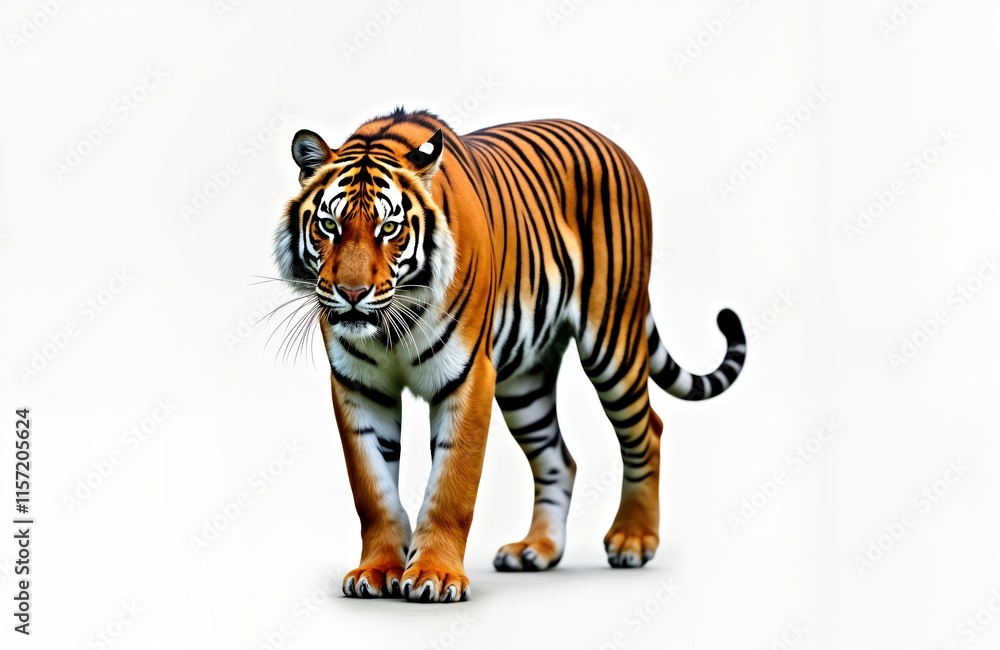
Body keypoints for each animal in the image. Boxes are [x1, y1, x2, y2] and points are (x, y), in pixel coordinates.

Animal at [272, 108, 746, 603]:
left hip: (612, 343)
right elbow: (373, 488)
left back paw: (633, 540)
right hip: (526, 384)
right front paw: (377, 571)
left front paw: (434, 576)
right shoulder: (358, 386)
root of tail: (614, 146)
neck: (390, 325)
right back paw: (537, 549)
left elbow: (452, 484)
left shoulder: (468, 376)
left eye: (389, 229)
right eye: (329, 225)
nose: (352, 293)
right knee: (560, 459)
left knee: (647, 431)